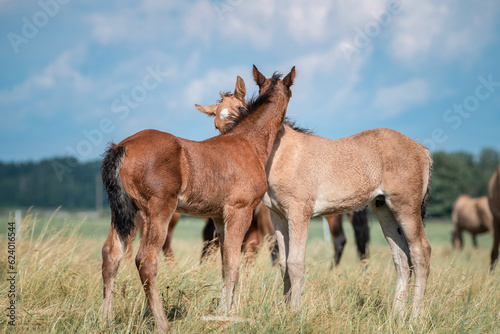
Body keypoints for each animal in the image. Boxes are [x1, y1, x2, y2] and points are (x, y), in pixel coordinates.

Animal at [102, 68, 296, 332]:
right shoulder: (240, 210)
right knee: (146, 261)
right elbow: (233, 264)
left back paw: (105, 319)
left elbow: (224, 264)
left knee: (111, 254)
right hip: (157, 210)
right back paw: (162, 323)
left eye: (237, 110)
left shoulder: (219, 217)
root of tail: (123, 146)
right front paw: (226, 316)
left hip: (123, 212)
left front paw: (228, 310)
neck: (248, 142)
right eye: (215, 122)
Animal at [197, 66, 432, 318]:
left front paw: (295, 312)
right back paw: (396, 315)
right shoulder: (278, 217)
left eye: (241, 111)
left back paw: (415, 316)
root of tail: (423, 150)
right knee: (401, 257)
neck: (281, 154)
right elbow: (283, 263)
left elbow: (296, 263)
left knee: (420, 252)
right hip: (384, 209)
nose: (231, 147)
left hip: (406, 208)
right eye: (216, 124)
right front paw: (285, 309)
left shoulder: (299, 212)